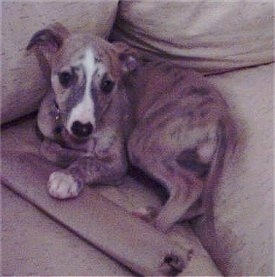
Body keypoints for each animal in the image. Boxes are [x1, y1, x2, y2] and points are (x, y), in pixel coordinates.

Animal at [26, 22, 237, 236]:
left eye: (107, 84)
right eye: (65, 77)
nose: (83, 128)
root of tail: (224, 116)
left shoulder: (118, 161)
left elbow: (87, 162)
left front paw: (69, 176)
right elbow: (50, 148)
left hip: (143, 141)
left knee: (189, 187)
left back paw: (152, 224)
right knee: (199, 204)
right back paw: (151, 212)